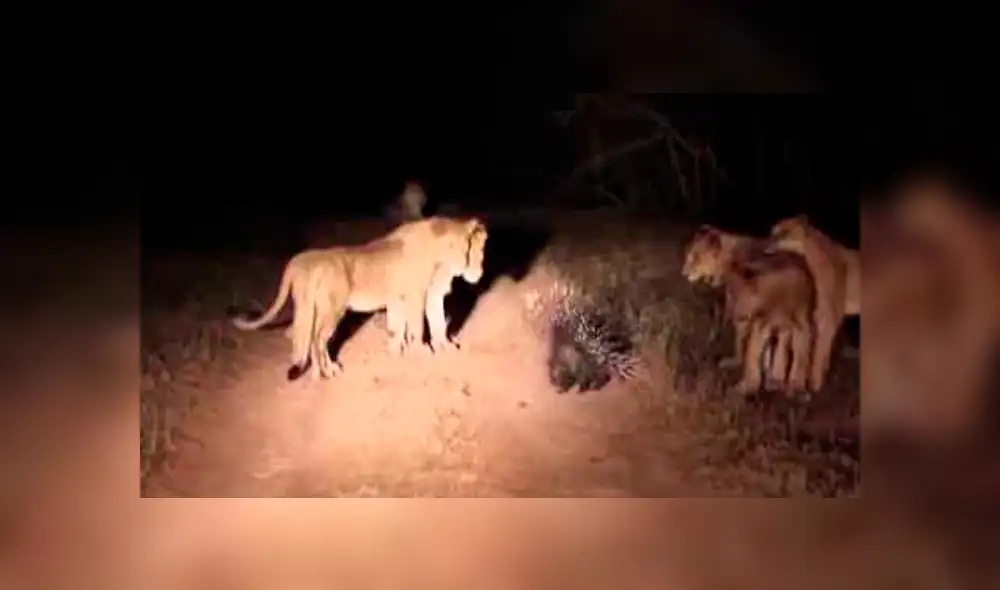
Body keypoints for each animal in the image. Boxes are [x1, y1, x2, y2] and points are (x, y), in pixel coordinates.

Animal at [231, 216, 488, 380]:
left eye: (475, 251)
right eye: (453, 246)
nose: (474, 271)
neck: (440, 261)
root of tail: (299, 260)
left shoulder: (408, 298)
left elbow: (417, 325)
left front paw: (408, 350)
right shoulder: (418, 295)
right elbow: (418, 325)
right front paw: (421, 352)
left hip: (309, 307)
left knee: (306, 337)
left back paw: (317, 373)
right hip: (332, 309)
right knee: (317, 339)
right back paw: (328, 371)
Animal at [682, 225, 815, 396]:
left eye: (696, 257)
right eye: (688, 255)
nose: (684, 273)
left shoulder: (741, 311)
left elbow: (740, 341)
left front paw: (736, 361)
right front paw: (772, 376)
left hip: (761, 320)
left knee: (754, 357)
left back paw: (743, 386)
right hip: (801, 323)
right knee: (800, 352)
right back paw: (793, 386)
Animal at [766, 215, 859, 393]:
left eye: (785, 232)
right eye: (772, 231)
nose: (766, 243)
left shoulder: (829, 318)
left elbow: (818, 352)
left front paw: (814, 386)